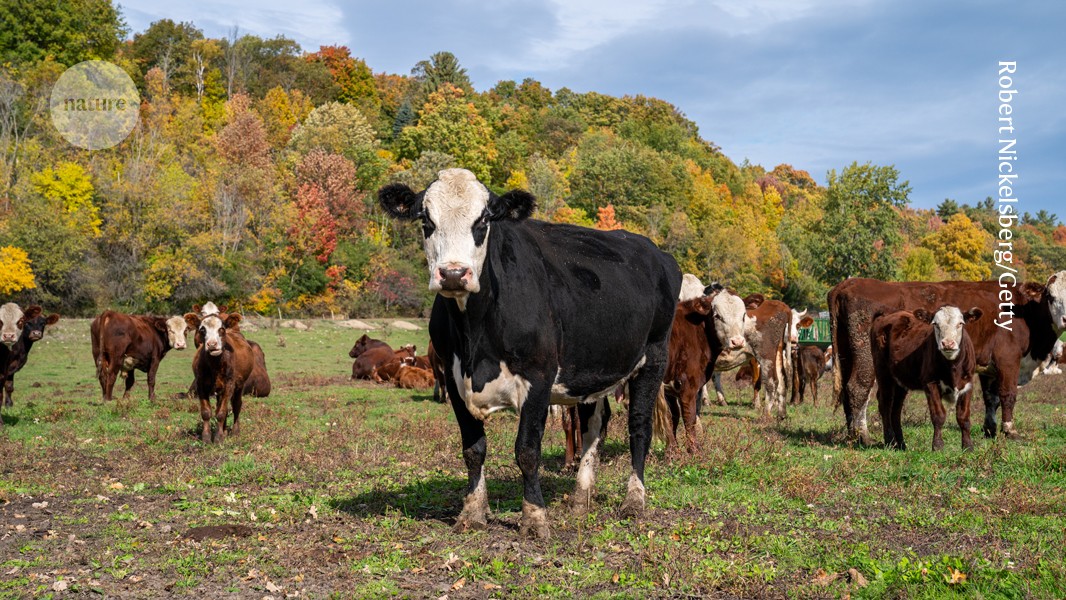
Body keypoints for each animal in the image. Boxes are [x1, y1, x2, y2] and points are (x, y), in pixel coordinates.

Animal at [185, 313, 253, 443]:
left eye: (221, 329)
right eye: (202, 329)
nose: (212, 344)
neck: (215, 365)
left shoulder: (229, 385)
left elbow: (222, 412)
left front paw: (218, 438)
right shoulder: (200, 384)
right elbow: (207, 412)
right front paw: (207, 437)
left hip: (239, 386)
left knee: (236, 405)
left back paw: (235, 431)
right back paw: (225, 431)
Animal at [381, 169, 682, 539]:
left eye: (483, 220)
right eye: (426, 220)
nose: (453, 274)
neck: (474, 338)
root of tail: (655, 251)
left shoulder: (538, 377)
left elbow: (527, 450)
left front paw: (534, 517)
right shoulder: (453, 380)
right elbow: (473, 449)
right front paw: (472, 512)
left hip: (653, 357)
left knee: (639, 426)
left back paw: (634, 500)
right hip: (591, 369)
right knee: (596, 425)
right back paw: (580, 497)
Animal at [874, 306, 980, 453]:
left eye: (960, 323)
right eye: (935, 324)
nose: (947, 344)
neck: (953, 367)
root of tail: (888, 314)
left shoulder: (968, 384)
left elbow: (963, 417)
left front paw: (968, 447)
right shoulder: (930, 383)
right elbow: (938, 415)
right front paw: (938, 446)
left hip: (901, 380)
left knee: (896, 409)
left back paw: (901, 444)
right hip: (883, 372)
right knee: (885, 404)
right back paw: (890, 441)